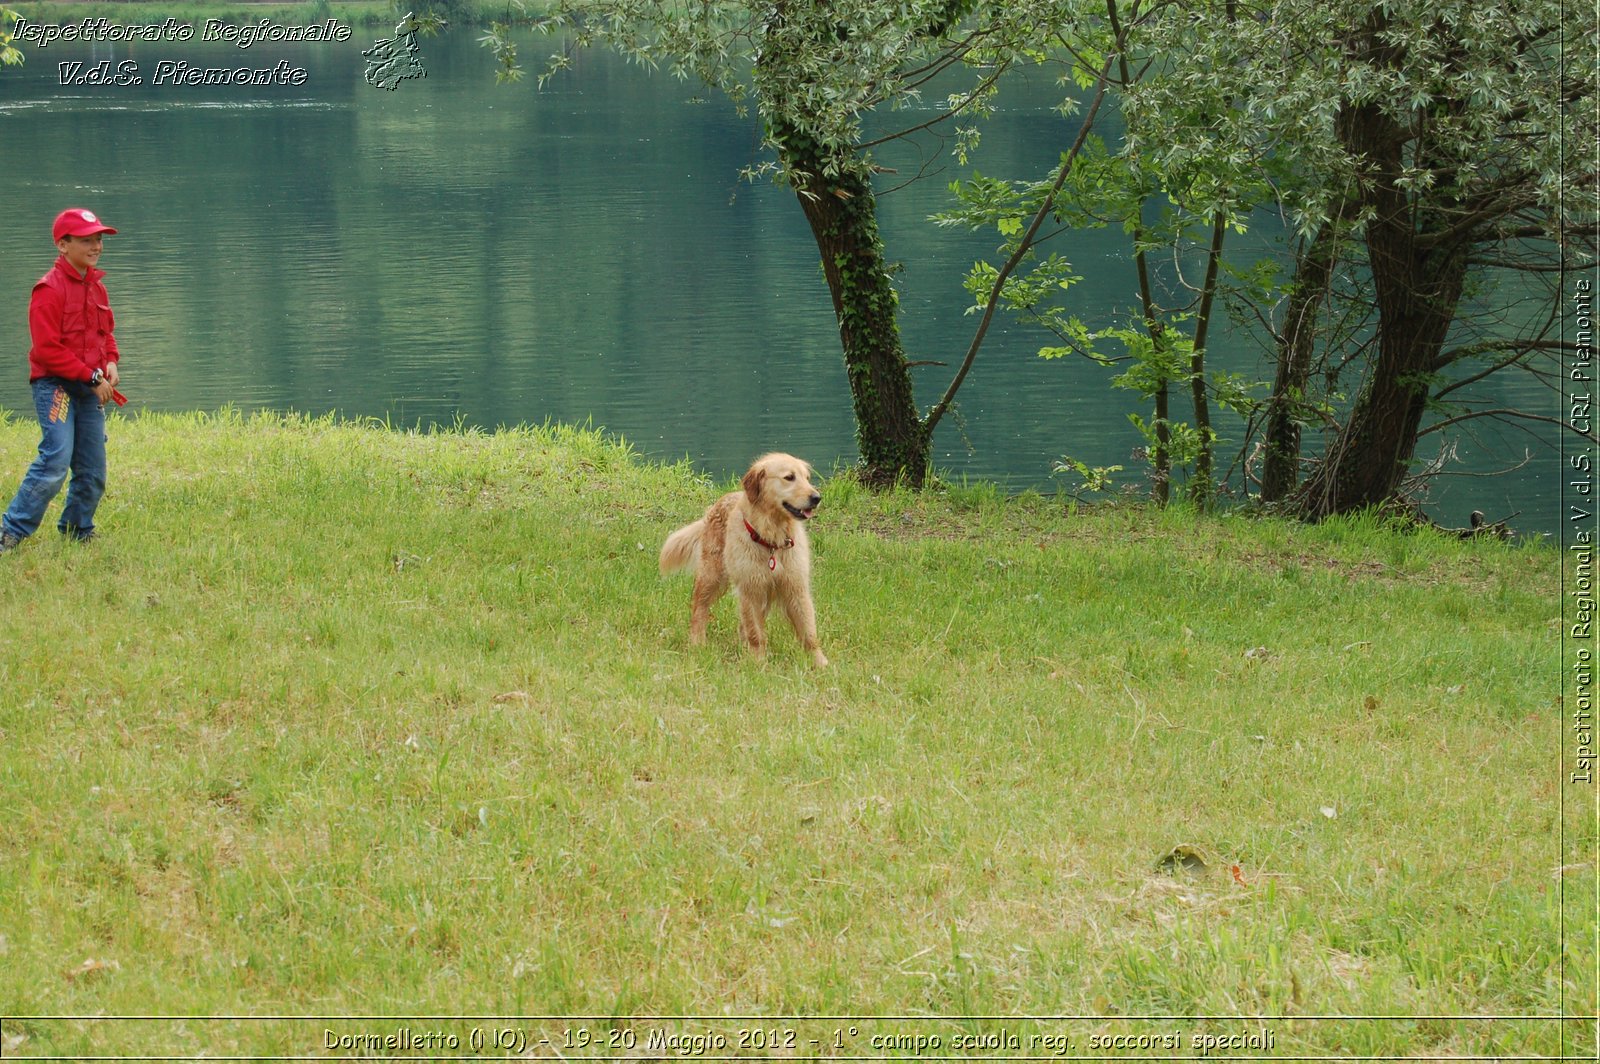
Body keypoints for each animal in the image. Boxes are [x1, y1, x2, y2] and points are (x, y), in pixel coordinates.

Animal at [662, 451, 832, 668]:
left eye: (807, 478)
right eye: (789, 477)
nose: (816, 497)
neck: (771, 540)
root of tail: (719, 502)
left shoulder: (795, 586)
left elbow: (809, 631)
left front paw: (820, 663)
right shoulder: (750, 588)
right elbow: (755, 633)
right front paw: (758, 662)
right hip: (712, 575)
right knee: (699, 608)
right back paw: (697, 642)